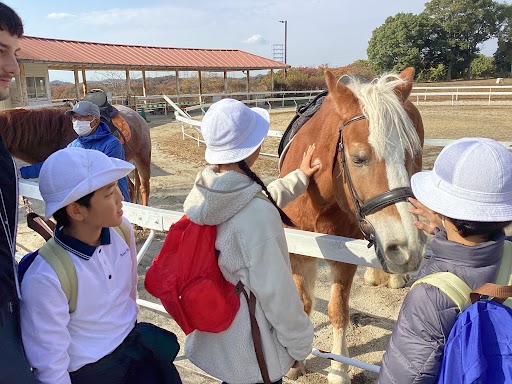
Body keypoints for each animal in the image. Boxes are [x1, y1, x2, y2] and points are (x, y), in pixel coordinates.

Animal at [278, 67, 426, 382]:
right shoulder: (298, 250)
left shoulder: (343, 257)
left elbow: (338, 311)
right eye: (358, 158)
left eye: (414, 153)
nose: (407, 249)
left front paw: (339, 369)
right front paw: (296, 362)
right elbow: (304, 303)